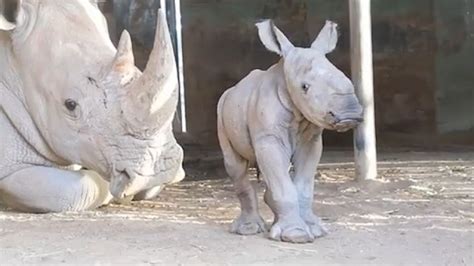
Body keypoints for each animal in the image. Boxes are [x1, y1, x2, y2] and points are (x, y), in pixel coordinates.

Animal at [218, 20, 362, 243]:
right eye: (304, 87)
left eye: (348, 79)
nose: (350, 114)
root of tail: (233, 89)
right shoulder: (269, 138)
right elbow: (284, 185)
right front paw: (296, 235)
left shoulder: (311, 140)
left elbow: (302, 185)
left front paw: (315, 229)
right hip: (222, 108)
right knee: (236, 166)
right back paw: (249, 229)